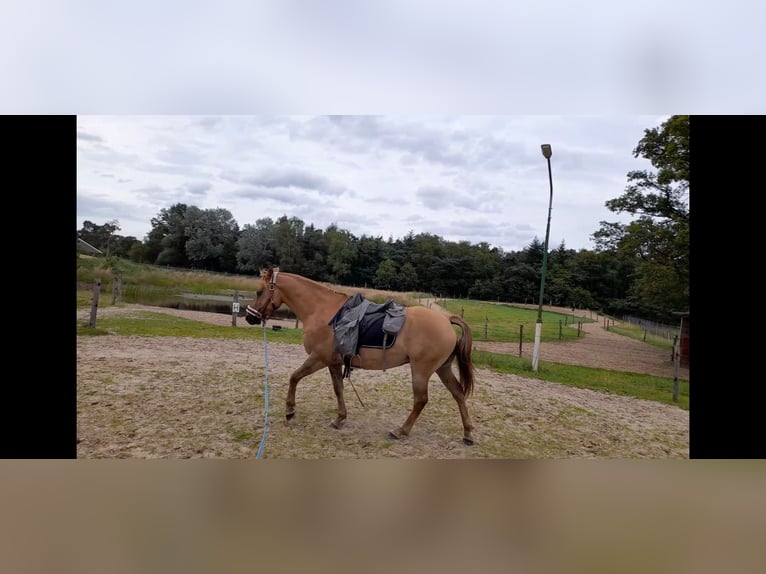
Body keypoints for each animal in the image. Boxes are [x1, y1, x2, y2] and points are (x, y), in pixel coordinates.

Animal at [246, 266, 476, 446]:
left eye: (259, 292)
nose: (249, 317)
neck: (323, 311)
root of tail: (446, 320)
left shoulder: (318, 358)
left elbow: (294, 377)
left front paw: (290, 410)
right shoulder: (334, 363)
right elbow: (338, 389)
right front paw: (340, 418)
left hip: (421, 370)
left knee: (421, 400)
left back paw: (400, 431)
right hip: (442, 368)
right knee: (458, 394)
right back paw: (467, 433)